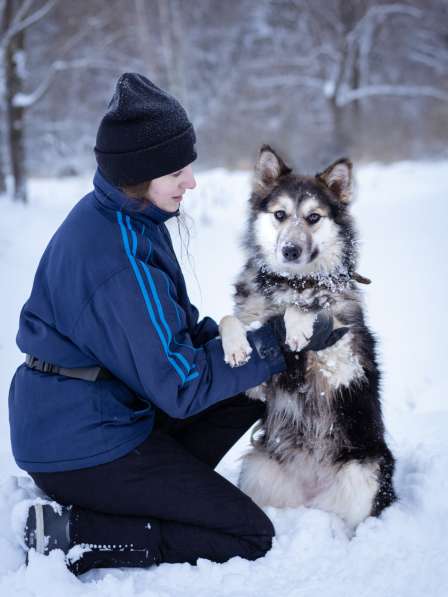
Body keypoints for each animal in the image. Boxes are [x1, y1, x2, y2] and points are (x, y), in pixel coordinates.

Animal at [220, 147, 396, 528]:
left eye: (314, 217)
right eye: (280, 214)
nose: (290, 250)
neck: (291, 283)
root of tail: (312, 498)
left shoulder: (343, 360)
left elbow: (311, 310)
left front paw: (300, 322)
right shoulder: (257, 386)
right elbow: (231, 320)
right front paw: (236, 345)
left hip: (367, 472)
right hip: (259, 469)